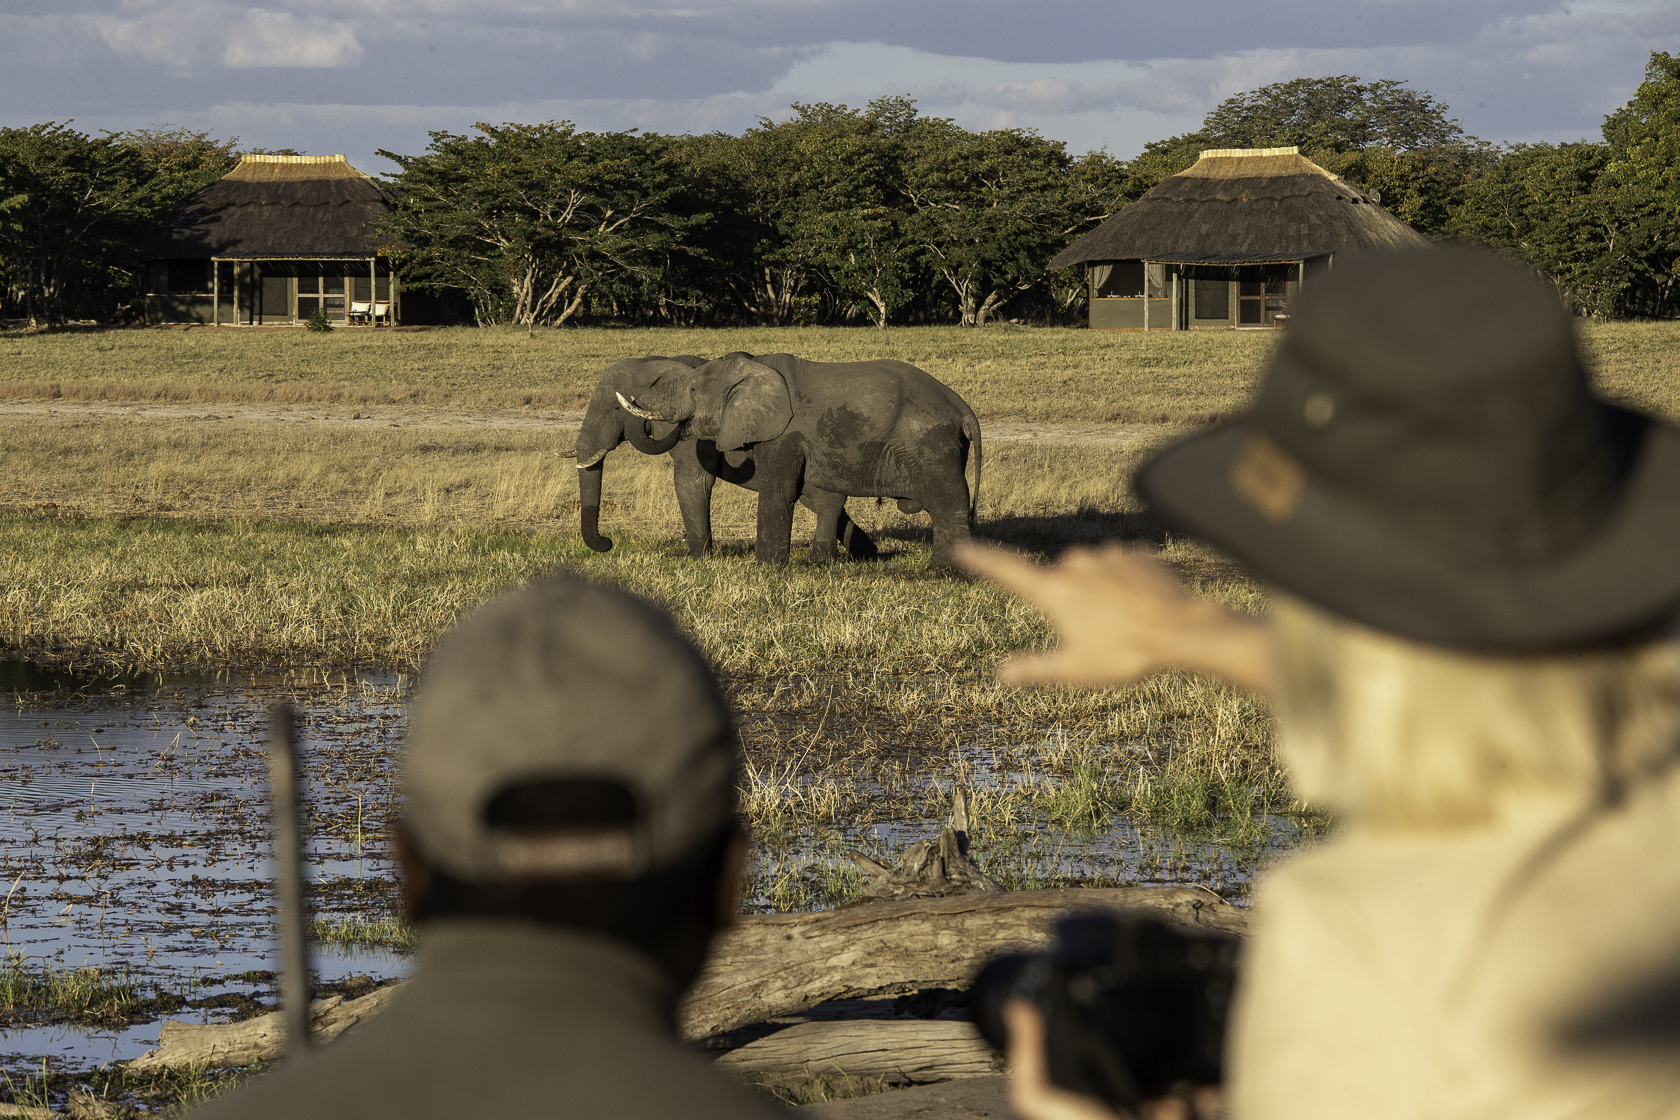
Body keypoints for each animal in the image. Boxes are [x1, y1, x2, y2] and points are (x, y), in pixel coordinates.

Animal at [573, 355, 877, 560]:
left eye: (615, 408)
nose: (608, 543)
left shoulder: (694, 435)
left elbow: (692, 483)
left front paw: (700, 560)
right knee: (815, 497)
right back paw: (867, 553)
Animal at [613, 351, 982, 568]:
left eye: (692, 390)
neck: (755, 366)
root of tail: (965, 410)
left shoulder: (785, 432)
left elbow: (780, 492)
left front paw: (766, 570)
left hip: (932, 443)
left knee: (949, 502)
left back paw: (945, 574)